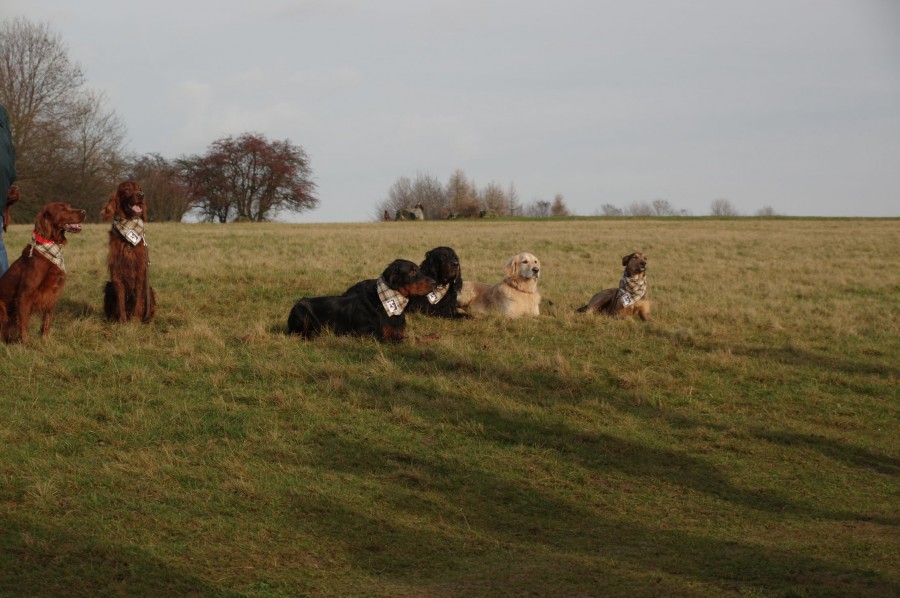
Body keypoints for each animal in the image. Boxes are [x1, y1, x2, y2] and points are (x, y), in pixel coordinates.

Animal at [0, 202, 86, 343]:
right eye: (62, 209)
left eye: (69, 206)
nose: (84, 211)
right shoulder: (24, 294)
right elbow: (24, 323)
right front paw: (26, 344)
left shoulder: (53, 294)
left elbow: (47, 321)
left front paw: (45, 340)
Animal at [100, 181, 156, 323]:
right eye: (127, 189)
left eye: (140, 188)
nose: (141, 195)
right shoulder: (117, 272)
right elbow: (120, 300)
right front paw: (123, 321)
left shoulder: (140, 272)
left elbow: (138, 300)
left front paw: (135, 320)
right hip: (109, 287)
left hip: (150, 290)